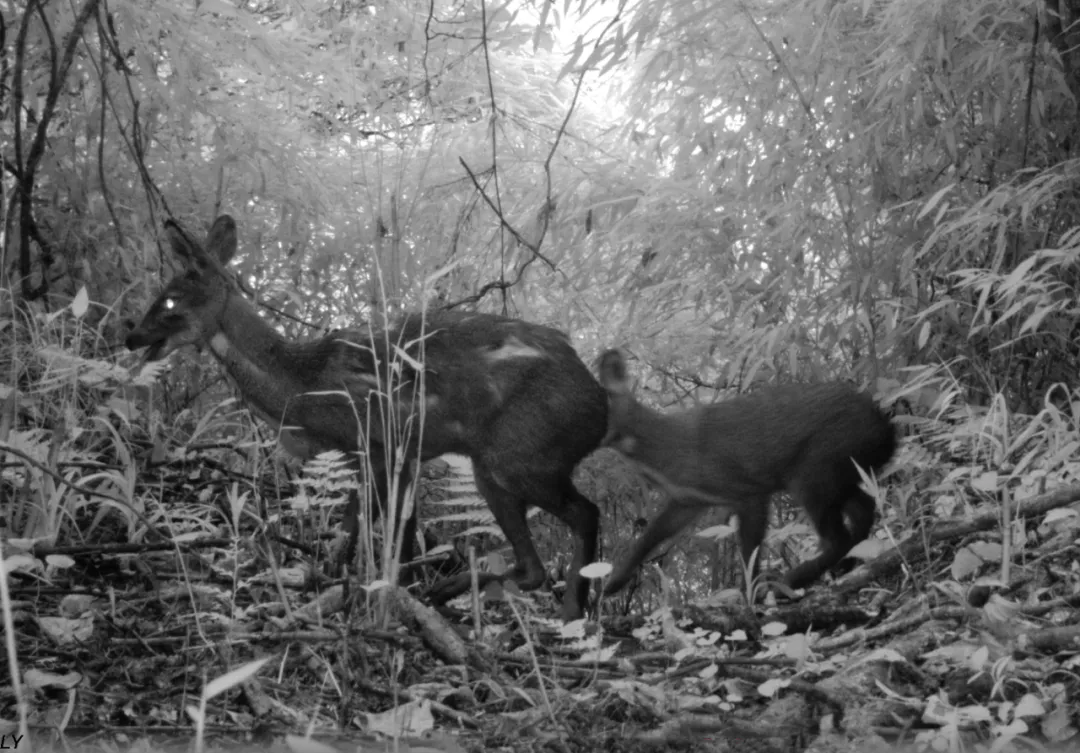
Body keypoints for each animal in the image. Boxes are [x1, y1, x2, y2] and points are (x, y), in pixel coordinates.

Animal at [124, 213, 609, 617]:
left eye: (170, 301)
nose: (129, 336)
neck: (303, 383)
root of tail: (600, 407)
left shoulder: (371, 441)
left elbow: (351, 525)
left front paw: (330, 581)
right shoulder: (405, 454)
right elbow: (402, 534)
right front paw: (397, 588)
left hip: (516, 455)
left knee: (579, 520)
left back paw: (560, 611)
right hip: (503, 463)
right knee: (537, 563)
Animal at [600, 350, 894, 596]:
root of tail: (887, 430)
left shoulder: (747, 489)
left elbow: (749, 553)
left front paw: (748, 595)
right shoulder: (688, 500)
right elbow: (650, 536)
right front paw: (613, 582)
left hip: (815, 469)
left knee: (837, 537)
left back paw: (790, 582)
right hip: (843, 473)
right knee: (865, 509)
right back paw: (848, 565)